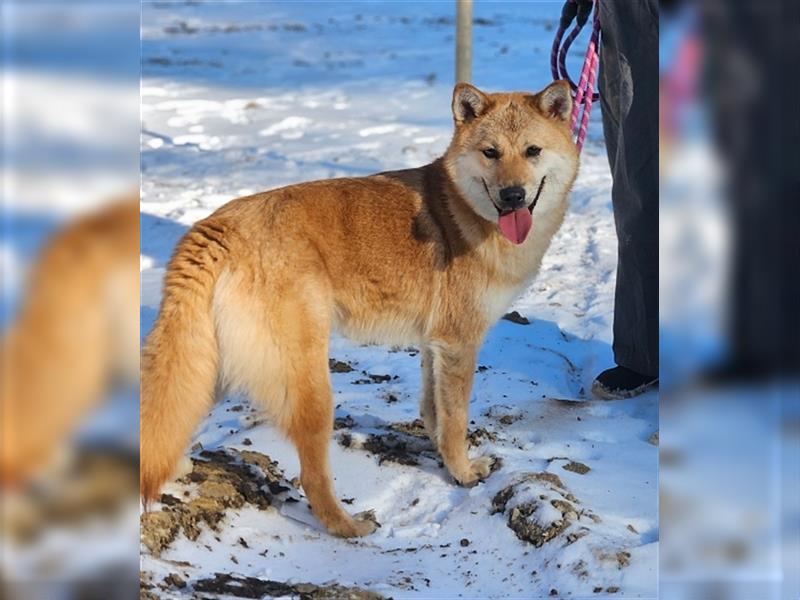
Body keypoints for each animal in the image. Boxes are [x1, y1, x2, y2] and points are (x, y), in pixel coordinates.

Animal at [141, 82, 580, 536]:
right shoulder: (459, 344)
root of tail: (219, 227)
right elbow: (456, 419)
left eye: (532, 151)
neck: (460, 209)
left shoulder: (435, 345)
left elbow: (434, 412)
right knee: (312, 477)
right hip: (310, 386)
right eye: (491, 152)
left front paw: (443, 458)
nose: (513, 196)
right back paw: (349, 527)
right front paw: (463, 473)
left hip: (213, 366)